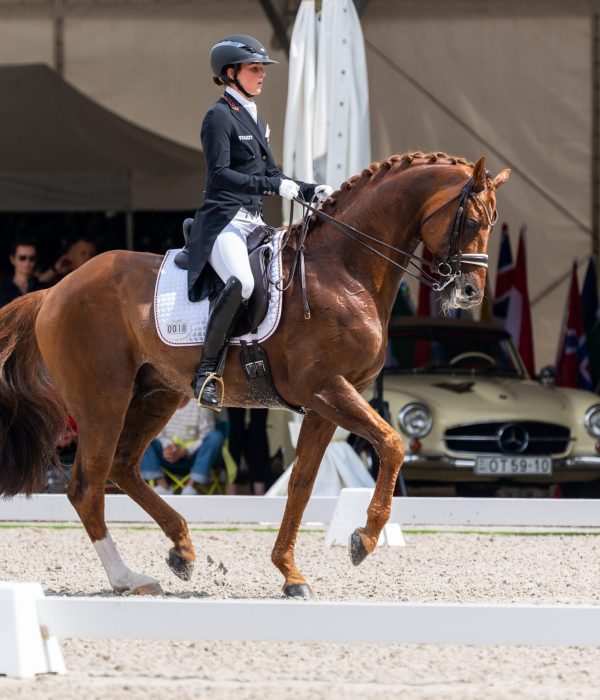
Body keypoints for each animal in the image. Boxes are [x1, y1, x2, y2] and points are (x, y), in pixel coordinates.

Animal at [0, 152, 508, 596]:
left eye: (493, 224)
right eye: (471, 221)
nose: (468, 292)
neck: (345, 269)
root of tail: (55, 289)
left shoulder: (327, 402)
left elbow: (302, 483)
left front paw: (291, 573)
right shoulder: (325, 388)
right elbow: (392, 443)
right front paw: (363, 538)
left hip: (157, 394)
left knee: (123, 467)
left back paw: (181, 549)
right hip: (101, 399)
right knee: (87, 486)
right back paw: (129, 578)